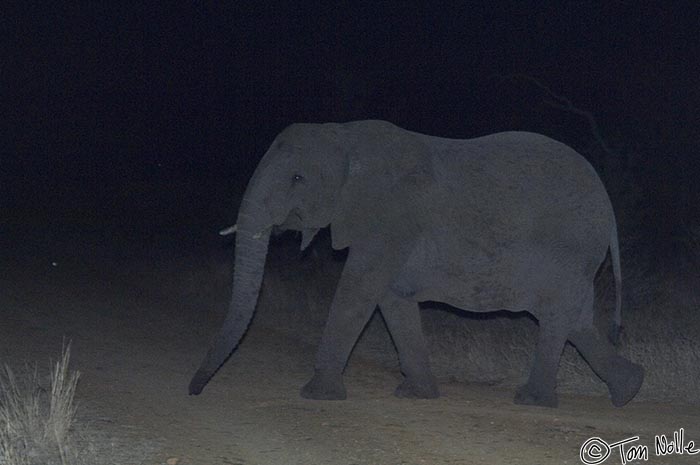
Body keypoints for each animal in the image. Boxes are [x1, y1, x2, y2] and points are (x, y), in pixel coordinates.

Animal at [187, 118, 644, 406]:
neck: (344, 137)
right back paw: (628, 391)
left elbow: (359, 288)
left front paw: (317, 395)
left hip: (569, 249)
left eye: (298, 179)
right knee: (576, 320)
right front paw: (417, 395)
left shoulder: (389, 217)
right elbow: (392, 298)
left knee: (556, 317)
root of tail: (608, 206)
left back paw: (534, 401)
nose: (195, 391)